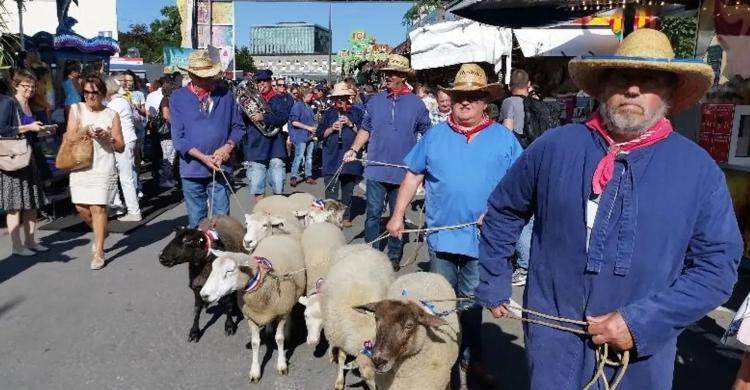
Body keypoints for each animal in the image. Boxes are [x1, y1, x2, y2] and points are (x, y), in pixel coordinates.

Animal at [201, 235, 306, 384]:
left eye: (229, 271)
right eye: (213, 269)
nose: (203, 295)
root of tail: (277, 235)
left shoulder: (281, 312)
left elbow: (279, 339)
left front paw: (282, 364)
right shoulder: (250, 317)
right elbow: (255, 343)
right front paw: (255, 371)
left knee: (290, 312)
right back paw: (269, 329)